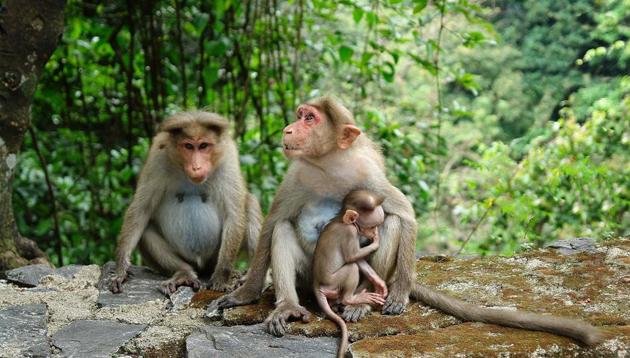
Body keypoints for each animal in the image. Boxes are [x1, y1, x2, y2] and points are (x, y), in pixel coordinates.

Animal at [110, 110, 262, 296]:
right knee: (145, 229)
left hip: (213, 259)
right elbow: (141, 210)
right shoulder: (157, 156)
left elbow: (233, 215)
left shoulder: (228, 157)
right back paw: (183, 273)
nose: (196, 167)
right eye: (189, 146)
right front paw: (120, 269)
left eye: (203, 146)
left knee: (250, 203)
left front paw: (221, 278)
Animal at [312, 189, 388, 356]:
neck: (341, 220)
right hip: (332, 282)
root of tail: (316, 284)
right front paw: (376, 242)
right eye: (372, 226)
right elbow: (352, 257)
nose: (374, 233)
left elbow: (358, 259)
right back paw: (351, 299)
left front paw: (379, 283)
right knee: (351, 268)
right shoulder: (350, 232)